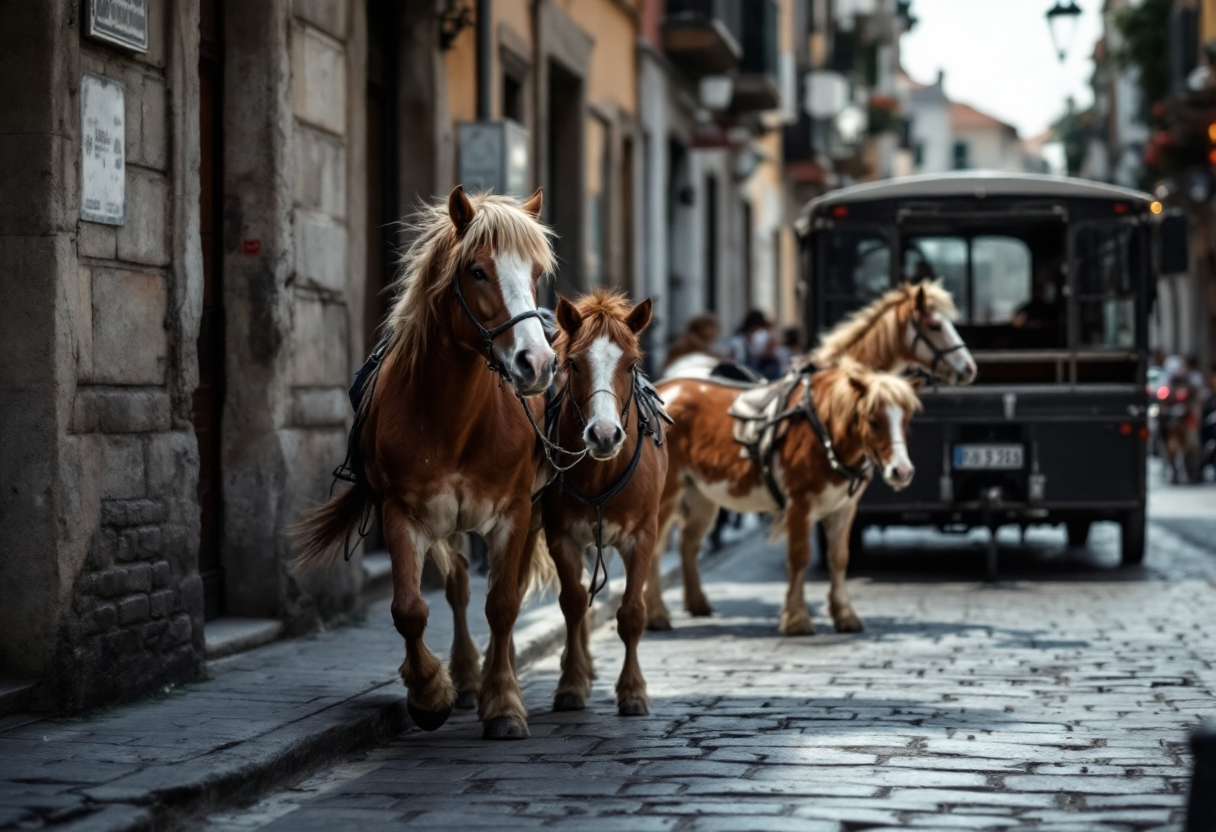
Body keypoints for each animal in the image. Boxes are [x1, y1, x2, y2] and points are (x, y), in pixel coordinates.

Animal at [291, 184, 556, 739]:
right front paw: (431, 692)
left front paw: (504, 703)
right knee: (457, 584)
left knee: (508, 590)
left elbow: (503, 605)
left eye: (537, 272)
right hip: (446, 525)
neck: (455, 420)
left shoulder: (516, 512)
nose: (537, 363)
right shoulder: (404, 512)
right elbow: (409, 608)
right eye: (476, 270)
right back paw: (467, 676)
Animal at [544, 290, 671, 715]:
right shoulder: (560, 537)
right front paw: (570, 683)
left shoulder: (643, 536)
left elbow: (632, 613)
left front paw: (633, 690)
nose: (603, 434)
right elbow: (572, 604)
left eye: (630, 364)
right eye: (573, 363)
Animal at [642, 360, 914, 632]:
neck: (824, 430)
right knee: (656, 549)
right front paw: (797, 619)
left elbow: (839, 559)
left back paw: (697, 603)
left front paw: (845, 615)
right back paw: (655, 614)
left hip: (701, 495)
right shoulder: (800, 504)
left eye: (906, 419)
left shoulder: (843, 509)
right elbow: (799, 556)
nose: (902, 471)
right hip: (666, 496)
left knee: (688, 544)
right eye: (873, 420)